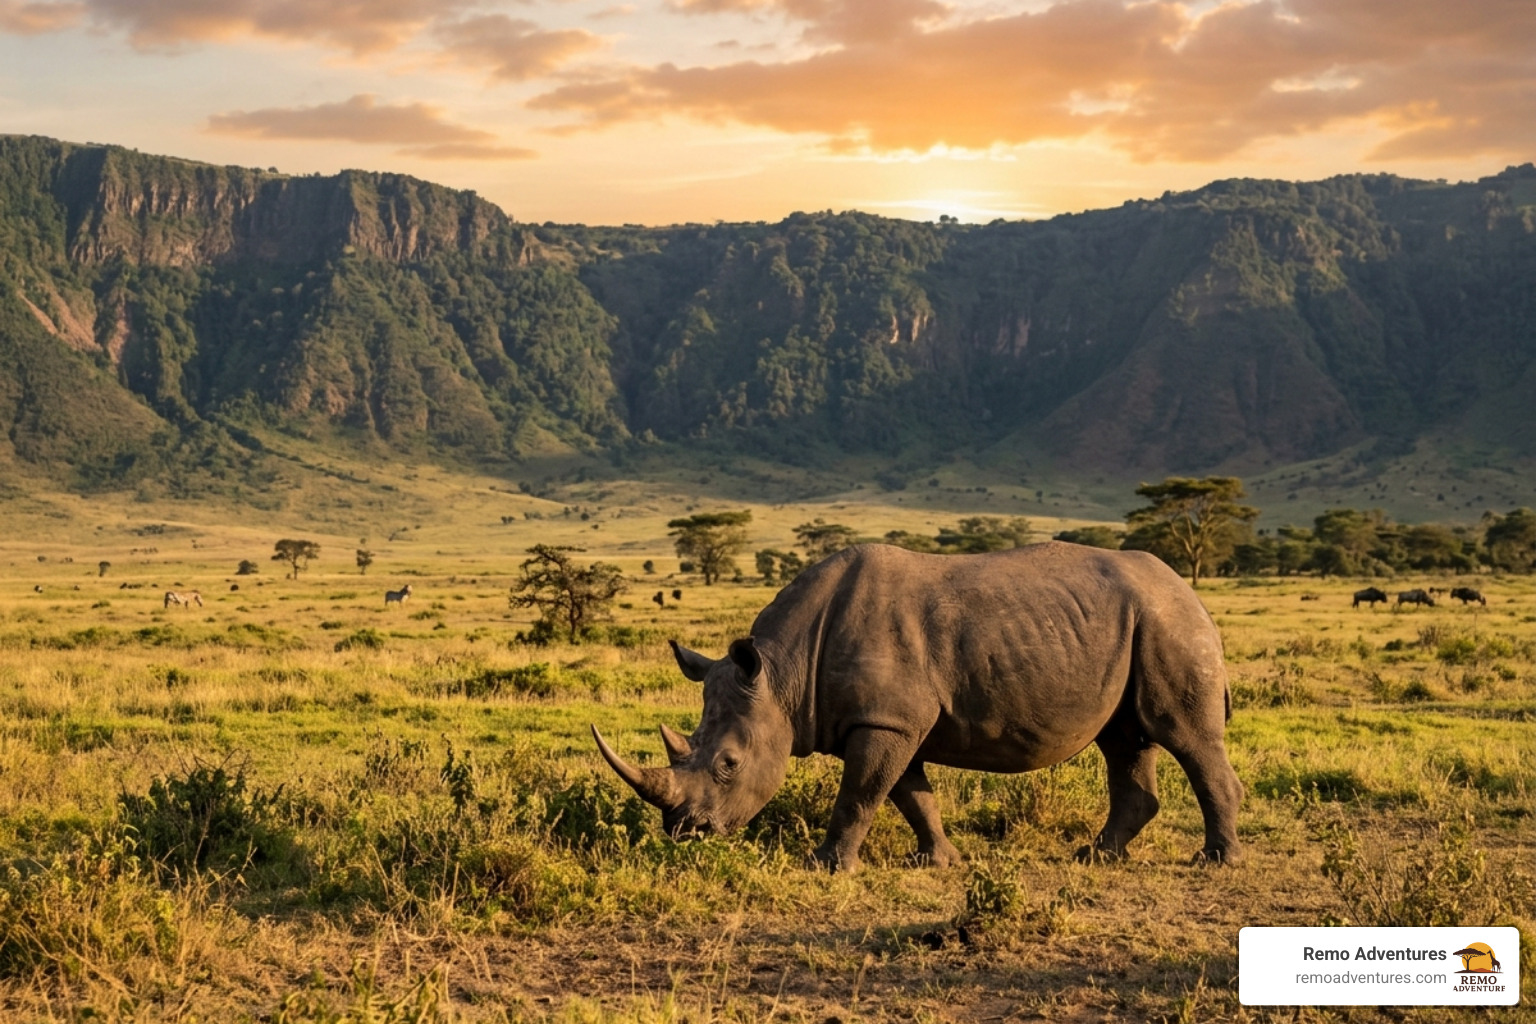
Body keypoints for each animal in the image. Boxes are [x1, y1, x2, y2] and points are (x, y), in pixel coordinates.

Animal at [592, 542, 1243, 872]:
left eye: (728, 765)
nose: (686, 832)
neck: (781, 673)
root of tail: (1188, 589)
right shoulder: (891, 719)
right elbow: (908, 793)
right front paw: (937, 861)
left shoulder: (885, 719)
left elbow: (861, 793)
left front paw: (826, 866)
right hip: (1135, 625)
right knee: (1125, 737)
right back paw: (1096, 856)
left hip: (1169, 624)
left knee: (1183, 735)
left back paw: (1214, 862)